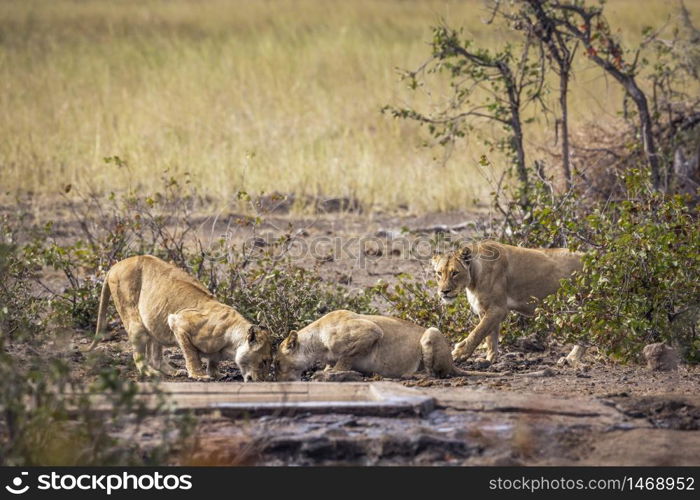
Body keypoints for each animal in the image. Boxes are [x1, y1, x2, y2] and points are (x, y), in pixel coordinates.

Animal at [86, 256, 272, 380]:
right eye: (264, 361)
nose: (261, 380)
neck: (232, 342)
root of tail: (116, 265)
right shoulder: (178, 322)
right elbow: (191, 354)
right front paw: (199, 375)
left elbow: (213, 360)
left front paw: (216, 373)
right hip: (134, 318)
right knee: (138, 355)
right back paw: (151, 373)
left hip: (154, 322)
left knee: (155, 356)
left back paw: (172, 371)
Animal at [274, 306, 492, 380]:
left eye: (277, 363)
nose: (278, 379)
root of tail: (452, 363)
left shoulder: (370, 331)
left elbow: (346, 357)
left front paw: (332, 372)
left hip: (432, 332)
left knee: (435, 373)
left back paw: (411, 375)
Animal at [432, 240, 584, 366]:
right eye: (439, 273)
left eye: (455, 273)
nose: (444, 291)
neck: (473, 278)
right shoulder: (485, 309)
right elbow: (490, 337)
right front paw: (489, 359)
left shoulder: (498, 309)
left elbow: (477, 333)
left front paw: (458, 354)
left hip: (576, 305)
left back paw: (571, 358)